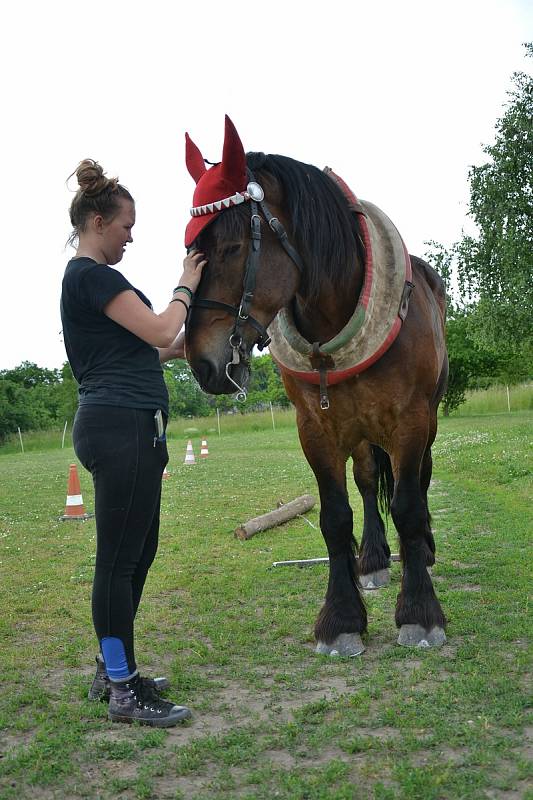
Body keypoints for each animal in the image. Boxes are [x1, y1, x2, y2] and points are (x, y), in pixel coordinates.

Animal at [183, 119, 448, 656]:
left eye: (232, 247)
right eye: (191, 252)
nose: (200, 361)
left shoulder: (410, 422)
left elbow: (409, 505)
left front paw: (419, 611)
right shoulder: (317, 430)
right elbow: (335, 517)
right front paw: (343, 617)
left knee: (419, 484)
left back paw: (422, 552)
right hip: (361, 431)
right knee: (367, 482)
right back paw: (374, 559)